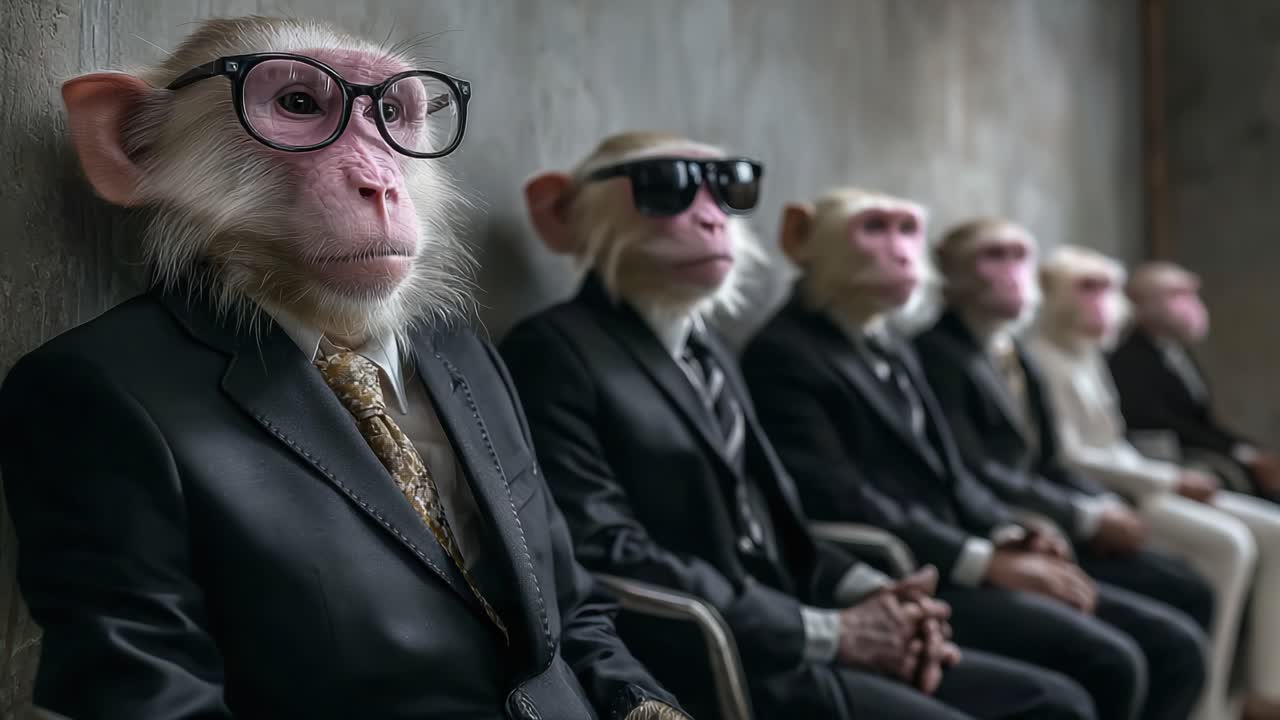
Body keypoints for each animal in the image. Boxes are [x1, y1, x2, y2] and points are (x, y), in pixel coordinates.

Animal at [500, 135, 1099, 720]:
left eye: (727, 187)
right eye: (665, 186)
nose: (711, 220)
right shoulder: (552, 372)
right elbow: (613, 535)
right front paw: (878, 627)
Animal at [742, 190, 1213, 720]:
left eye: (903, 229)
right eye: (874, 228)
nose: (902, 256)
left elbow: (981, 476)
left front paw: (1046, 540)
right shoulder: (793, 373)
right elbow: (852, 488)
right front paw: (1027, 564)